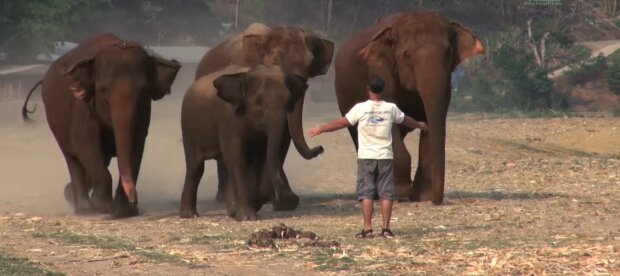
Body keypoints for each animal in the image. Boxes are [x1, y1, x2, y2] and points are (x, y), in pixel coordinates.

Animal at [22, 33, 182, 217]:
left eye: (144, 91)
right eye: (103, 90)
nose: (134, 200)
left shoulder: (144, 113)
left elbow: (136, 145)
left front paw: (125, 211)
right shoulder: (83, 106)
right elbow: (86, 143)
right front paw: (104, 208)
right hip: (55, 123)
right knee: (73, 159)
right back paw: (84, 209)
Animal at [179, 64, 310, 220]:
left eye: (289, 101)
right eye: (258, 101)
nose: (292, 200)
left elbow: (262, 157)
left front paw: (250, 206)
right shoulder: (228, 118)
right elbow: (235, 156)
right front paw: (248, 217)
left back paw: (231, 211)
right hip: (188, 127)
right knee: (196, 167)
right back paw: (190, 215)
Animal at [196, 22, 336, 210]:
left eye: (310, 64)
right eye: (275, 64)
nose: (319, 148)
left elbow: (282, 137)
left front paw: (275, 199)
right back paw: (221, 198)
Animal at [334, 11, 484, 205]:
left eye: (448, 53)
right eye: (407, 55)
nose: (436, 199)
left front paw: (422, 196)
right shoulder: (380, 71)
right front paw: (400, 193)